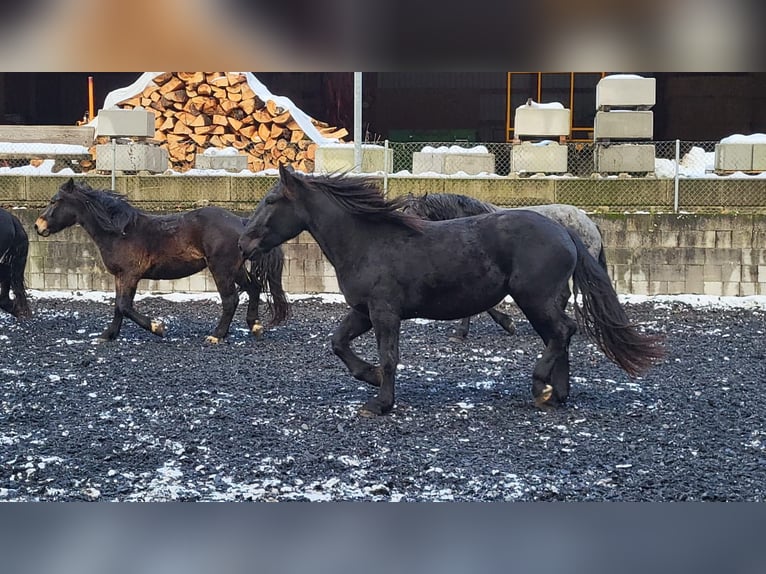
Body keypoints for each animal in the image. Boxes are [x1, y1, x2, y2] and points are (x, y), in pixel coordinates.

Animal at [34, 179, 290, 342]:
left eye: (55, 201)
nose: (38, 226)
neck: (120, 232)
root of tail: (241, 222)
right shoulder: (120, 276)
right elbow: (118, 306)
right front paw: (107, 336)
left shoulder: (131, 275)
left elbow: (125, 306)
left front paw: (158, 328)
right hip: (235, 269)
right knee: (254, 287)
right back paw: (255, 327)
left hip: (222, 268)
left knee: (230, 300)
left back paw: (216, 336)